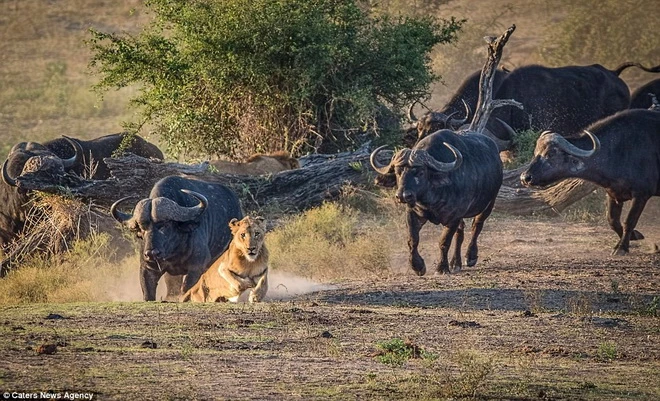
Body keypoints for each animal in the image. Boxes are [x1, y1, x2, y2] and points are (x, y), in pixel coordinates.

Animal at [112, 175, 244, 300]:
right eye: (142, 227)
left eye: (165, 224)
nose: (151, 253)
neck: (174, 250)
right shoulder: (147, 267)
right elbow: (148, 293)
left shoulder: (196, 267)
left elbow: (186, 288)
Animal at [372, 130, 500, 274]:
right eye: (398, 172)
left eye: (420, 172)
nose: (403, 196)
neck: (430, 200)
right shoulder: (412, 213)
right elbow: (412, 240)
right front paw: (417, 266)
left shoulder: (453, 217)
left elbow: (444, 242)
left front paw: (441, 268)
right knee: (460, 233)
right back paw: (455, 263)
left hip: (489, 204)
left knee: (476, 226)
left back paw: (470, 257)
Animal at [520, 108, 660, 255]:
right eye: (536, 152)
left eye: (550, 154)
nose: (525, 178)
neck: (621, 150)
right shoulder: (613, 193)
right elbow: (612, 220)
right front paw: (634, 235)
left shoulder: (641, 195)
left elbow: (629, 221)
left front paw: (622, 247)